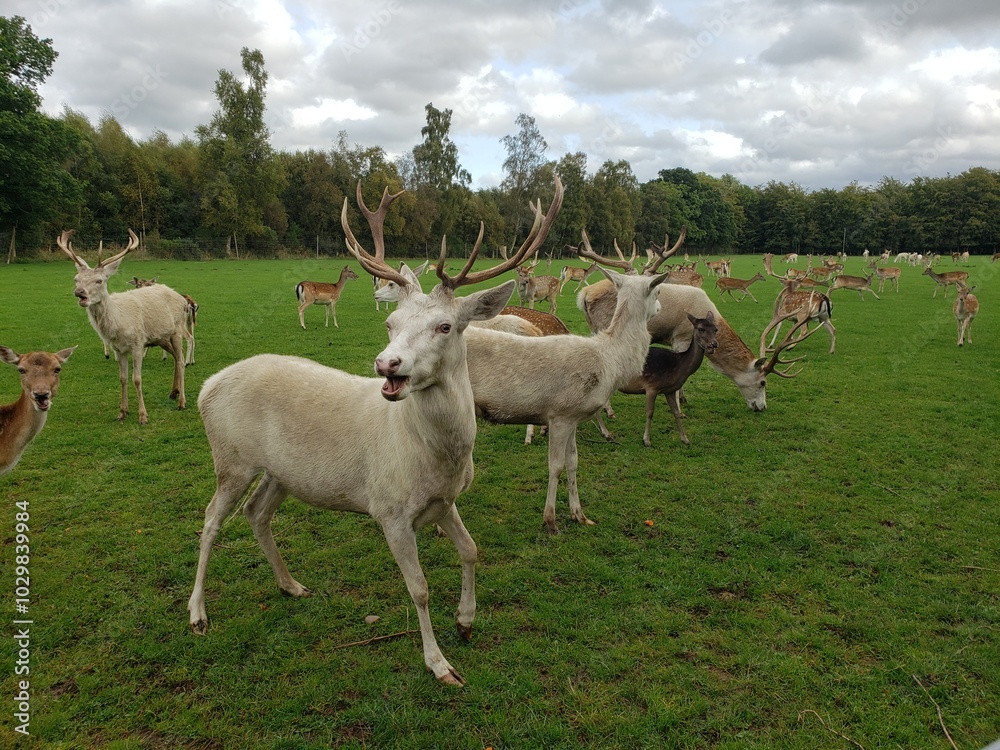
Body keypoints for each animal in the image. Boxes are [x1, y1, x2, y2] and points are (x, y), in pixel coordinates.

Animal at [57, 229, 189, 425]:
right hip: (161, 337)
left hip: (177, 329)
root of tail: (180, 297)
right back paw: (173, 392)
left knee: (180, 360)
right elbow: (123, 379)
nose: (79, 293)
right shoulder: (118, 349)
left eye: (99, 280)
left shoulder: (137, 343)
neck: (118, 324)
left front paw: (143, 416)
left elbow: (137, 379)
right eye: (76, 279)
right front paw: (122, 412)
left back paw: (182, 402)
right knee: (174, 357)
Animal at [187, 177, 565, 687]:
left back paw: (292, 586)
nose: (388, 364)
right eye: (390, 323)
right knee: (210, 521)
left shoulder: (444, 501)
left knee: (256, 512)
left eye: (445, 326)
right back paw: (198, 614)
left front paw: (466, 622)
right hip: (231, 458)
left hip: (280, 472)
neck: (437, 460)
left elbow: (471, 550)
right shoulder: (389, 509)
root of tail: (206, 387)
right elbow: (420, 588)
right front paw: (440, 664)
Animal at [594, 312, 718, 447]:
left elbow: (676, 412)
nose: (714, 344)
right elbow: (650, 412)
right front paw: (646, 440)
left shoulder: (669, 390)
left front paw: (685, 439)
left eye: (716, 329)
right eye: (700, 329)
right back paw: (606, 433)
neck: (678, 366)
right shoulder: (651, 386)